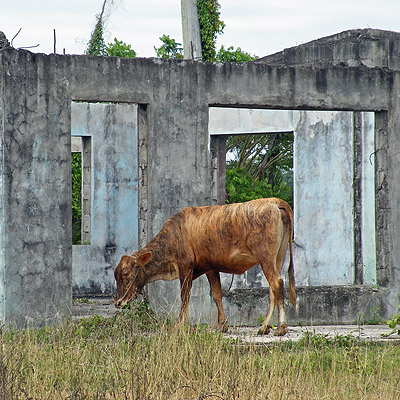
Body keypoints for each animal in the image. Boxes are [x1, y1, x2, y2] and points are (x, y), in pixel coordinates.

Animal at [114, 198, 296, 336]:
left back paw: (281, 327)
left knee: (276, 283)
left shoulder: (185, 267)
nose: (117, 302)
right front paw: (221, 325)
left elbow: (185, 296)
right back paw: (264, 326)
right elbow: (216, 294)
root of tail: (274, 201)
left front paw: (180, 324)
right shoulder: (210, 267)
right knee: (273, 289)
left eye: (125, 274)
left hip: (266, 257)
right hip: (277, 257)